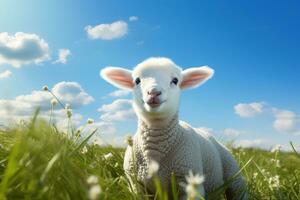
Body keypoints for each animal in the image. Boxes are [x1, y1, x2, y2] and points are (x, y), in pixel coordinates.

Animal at [101, 57, 248, 199]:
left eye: (175, 80)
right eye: (137, 80)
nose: (154, 92)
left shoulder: (189, 181)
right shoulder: (136, 185)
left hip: (233, 174)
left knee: (238, 191)